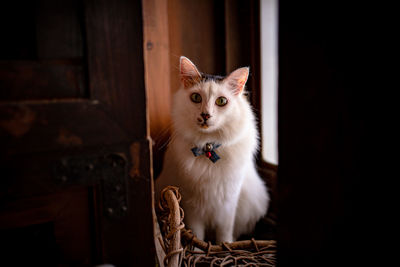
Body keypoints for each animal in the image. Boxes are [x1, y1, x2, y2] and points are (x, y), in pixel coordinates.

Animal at [155, 56, 268, 245]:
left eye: (221, 101)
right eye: (196, 98)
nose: (205, 115)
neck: (208, 148)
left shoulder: (228, 203)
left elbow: (224, 234)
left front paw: (225, 246)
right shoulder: (192, 205)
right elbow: (197, 235)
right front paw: (198, 248)